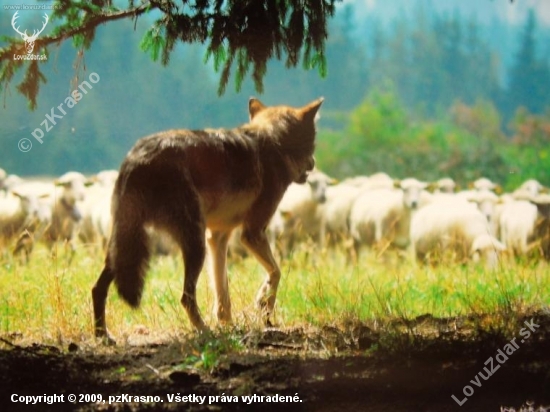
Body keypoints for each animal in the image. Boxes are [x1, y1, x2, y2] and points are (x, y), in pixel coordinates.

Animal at [90, 97, 324, 342]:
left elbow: (223, 291)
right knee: (186, 297)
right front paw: (263, 303)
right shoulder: (252, 233)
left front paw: (228, 324)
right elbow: (276, 272)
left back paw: (102, 335)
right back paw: (204, 332)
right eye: (314, 144)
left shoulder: (218, 237)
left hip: (126, 247)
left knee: (97, 289)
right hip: (194, 244)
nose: (313, 163)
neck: (274, 145)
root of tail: (137, 157)